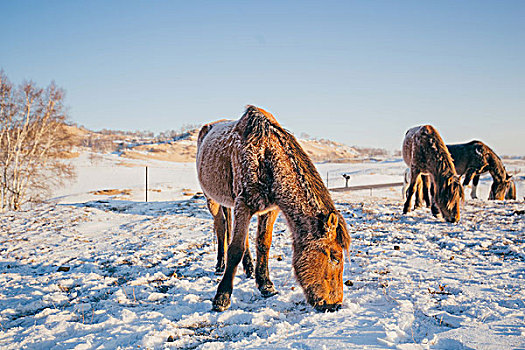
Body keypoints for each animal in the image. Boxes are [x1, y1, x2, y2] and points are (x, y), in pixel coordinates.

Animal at [194, 106, 350, 312]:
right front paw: (222, 297)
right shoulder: (243, 204)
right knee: (221, 226)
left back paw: (249, 269)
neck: (264, 156)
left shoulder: (269, 209)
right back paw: (220, 264)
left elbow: (263, 244)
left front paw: (266, 285)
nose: (335, 304)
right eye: (334, 257)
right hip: (212, 199)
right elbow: (235, 249)